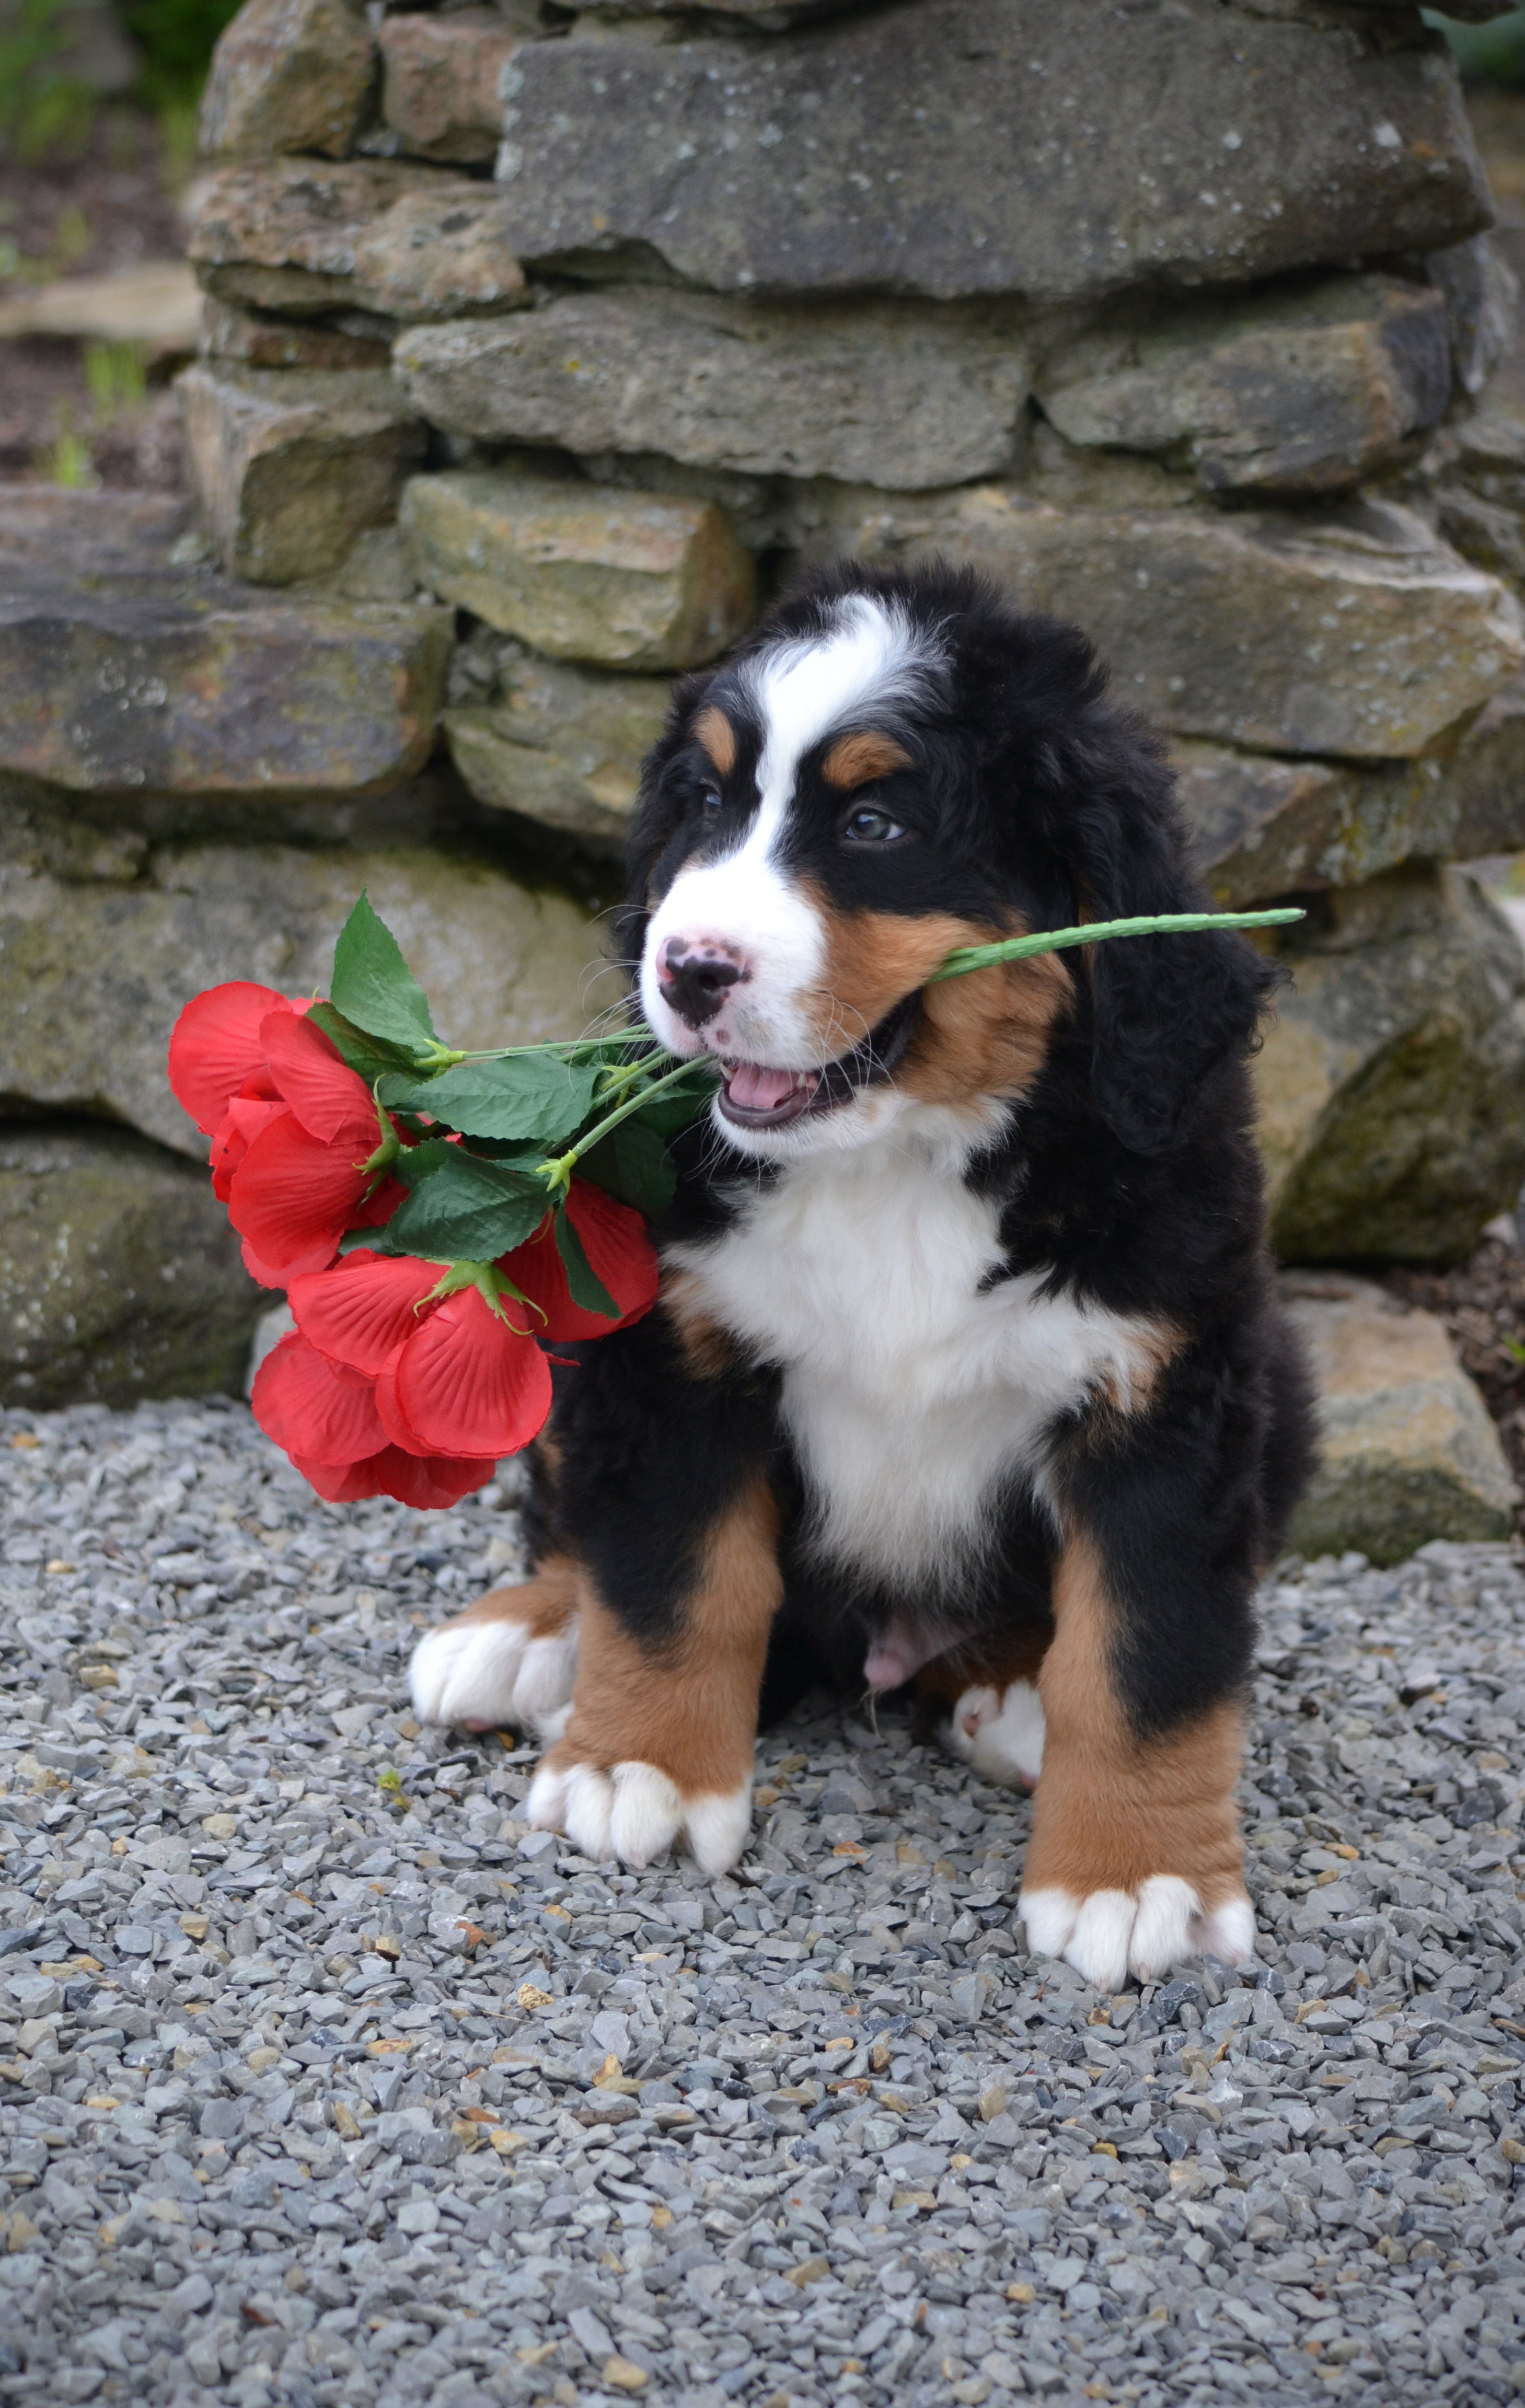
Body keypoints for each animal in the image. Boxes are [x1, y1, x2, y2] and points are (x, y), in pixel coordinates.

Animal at [409, 563, 1310, 1994]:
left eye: (875, 824)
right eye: (703, 809)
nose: (685, 969)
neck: (895, 1157)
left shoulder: (1170, 1390)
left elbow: (1147, 1647)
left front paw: (1132, 1875)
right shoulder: (675, 1350)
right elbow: (670, 1573)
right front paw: (640, 1768)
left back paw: (1013, 1695)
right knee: (573, 1523)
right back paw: (524, 1636)